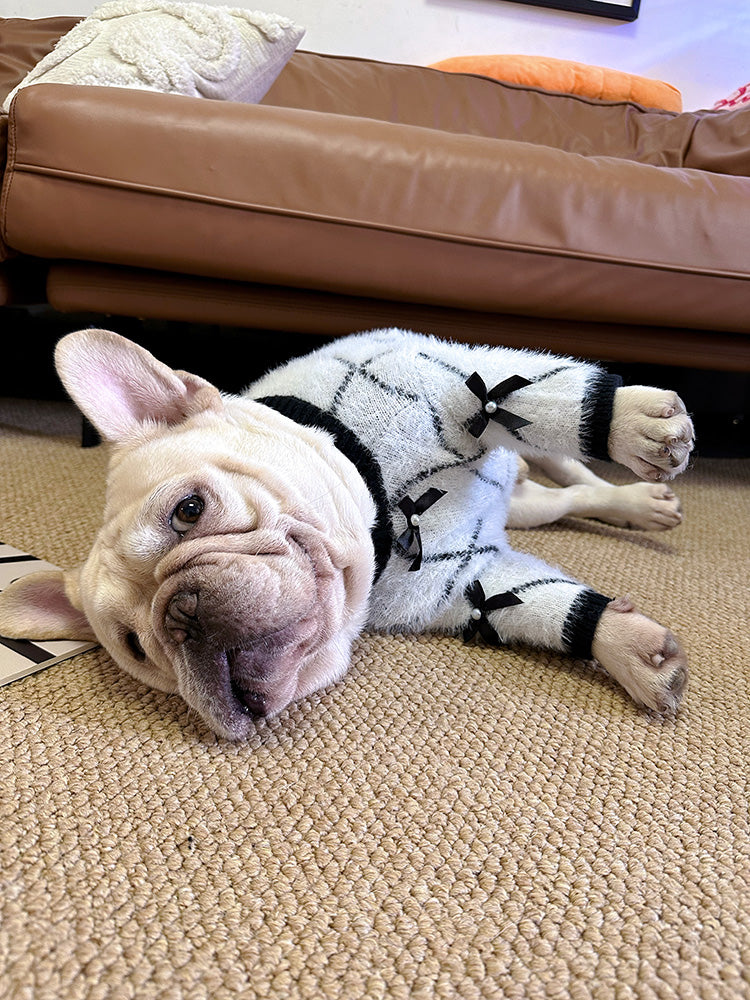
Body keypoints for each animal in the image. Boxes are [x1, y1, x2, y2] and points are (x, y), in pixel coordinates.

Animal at [0, 328, 700, 736]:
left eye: (189, 510)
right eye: (136, 648)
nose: (182, 615)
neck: (389, 514)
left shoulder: (454, 385)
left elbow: (517, 394)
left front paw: (629, 422)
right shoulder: (468, 582)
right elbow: (544, 607)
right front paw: (630, 648)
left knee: (564, 457)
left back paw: (635, 480)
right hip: (524, 512)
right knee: (560, 499)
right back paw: (632, 505)